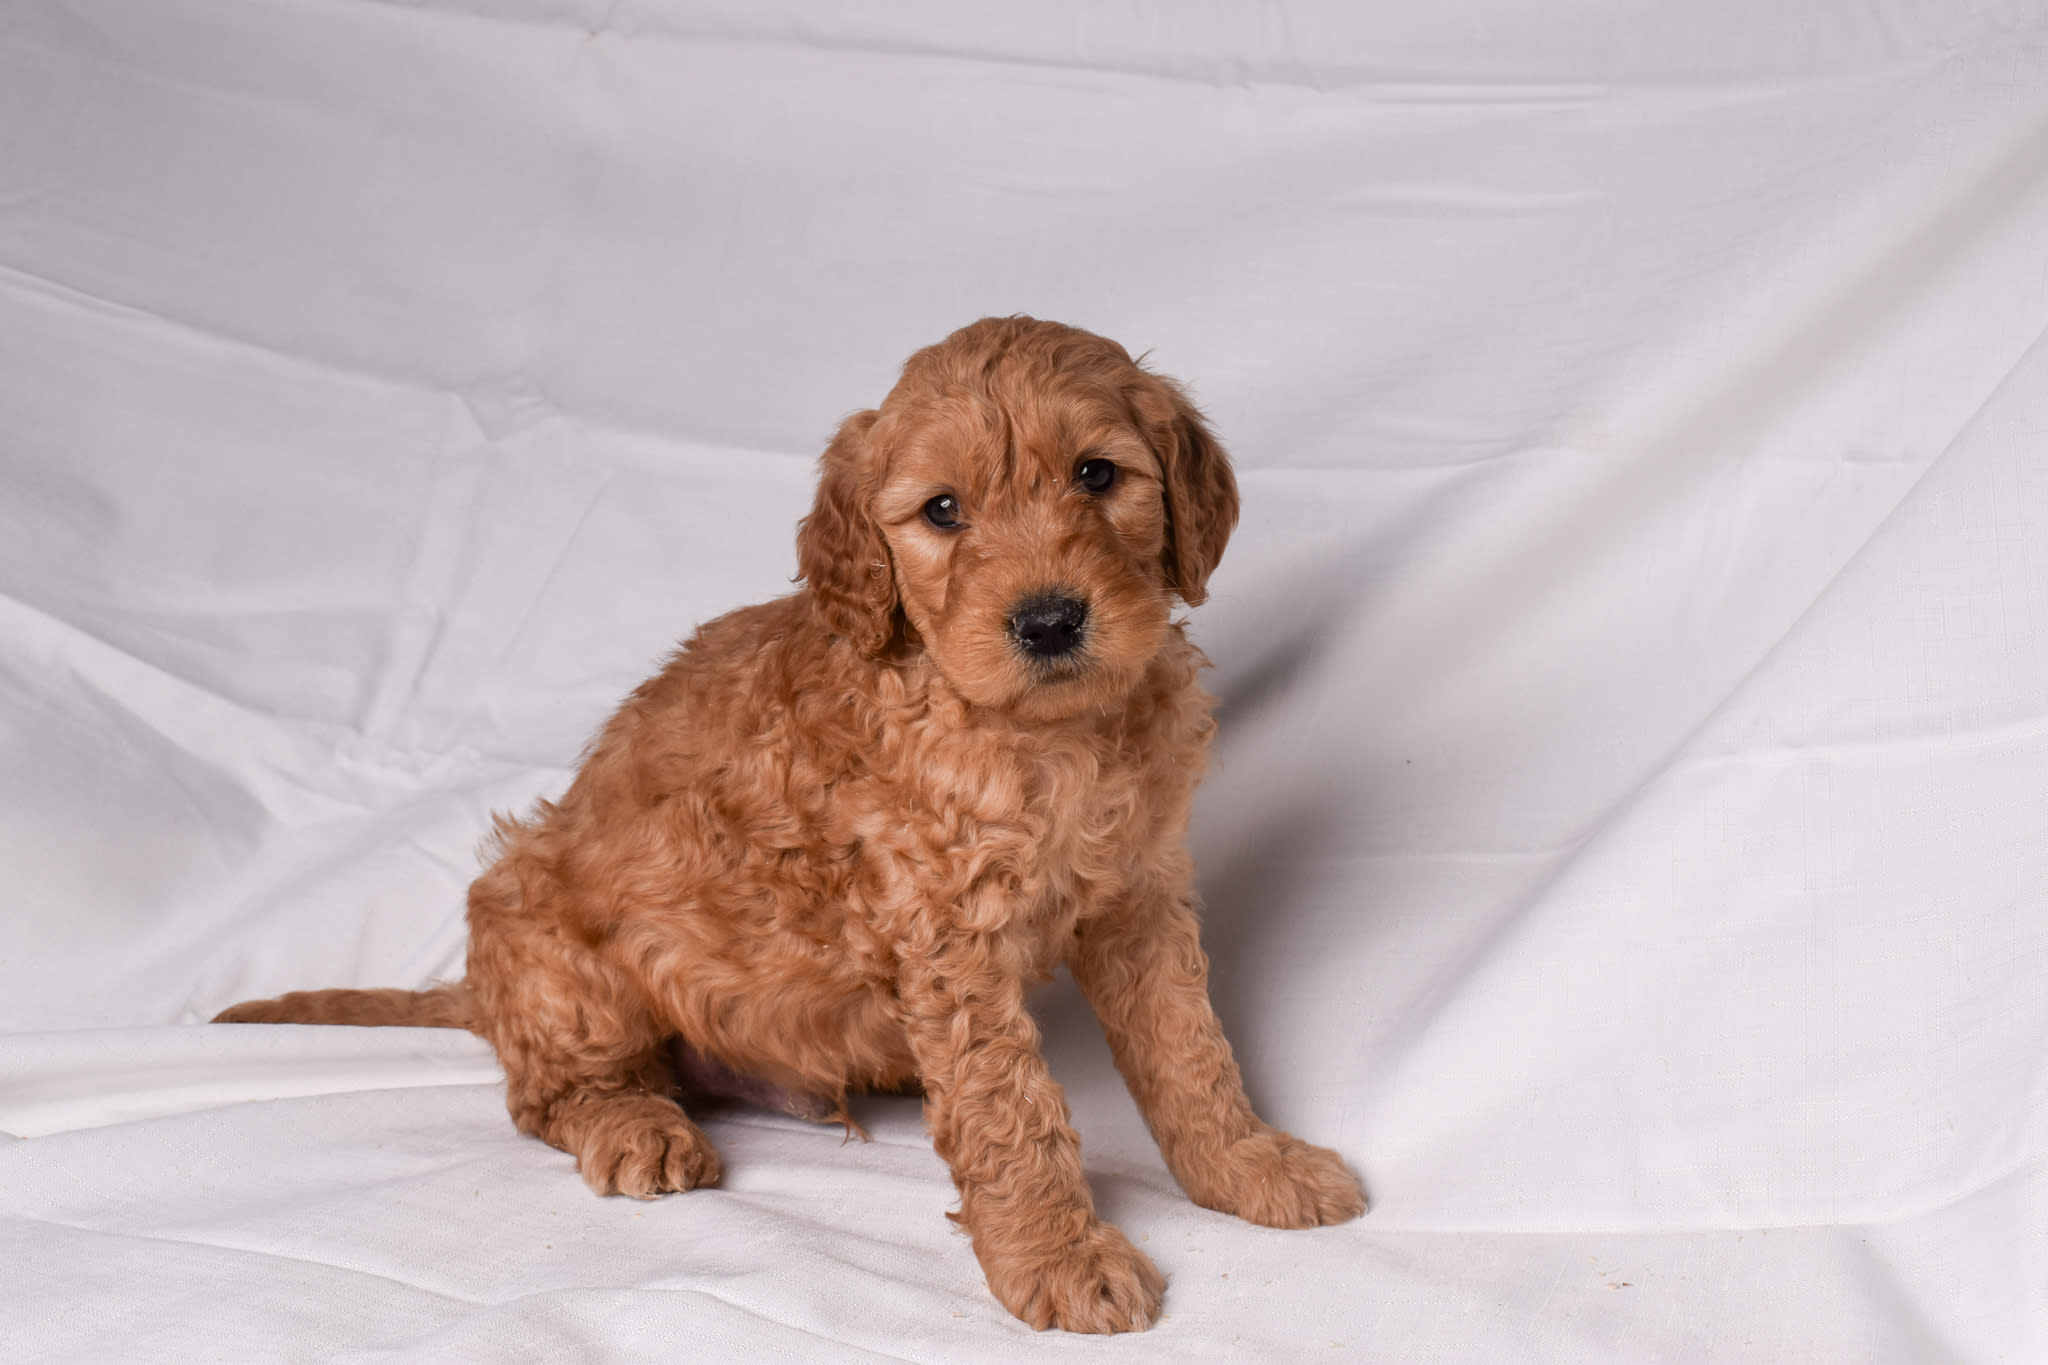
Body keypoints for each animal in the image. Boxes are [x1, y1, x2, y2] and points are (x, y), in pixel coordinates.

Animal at [216, 317, 1368, 1334]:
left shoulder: (1138, 894)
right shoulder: (948, 935)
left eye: (1096, 475)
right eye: (941, 511)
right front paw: (1057, 1255)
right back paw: (635, 1124)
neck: (1047, 733)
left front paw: (1245, 1167)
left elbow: (1189, 1049)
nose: (1048, 621)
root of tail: (481, 993)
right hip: (553, 945)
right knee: (547, 1091)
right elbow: (1008, 1108)